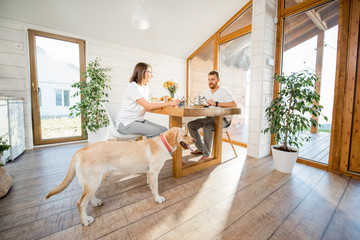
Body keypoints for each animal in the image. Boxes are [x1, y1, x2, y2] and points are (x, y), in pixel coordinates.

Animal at [47, 127, 195, 227]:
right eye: (185, 135)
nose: (194, 139)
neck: (162, 143)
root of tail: (82, 150)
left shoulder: (149, 172)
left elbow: (151, 184)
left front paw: (152, 191)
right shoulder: (154, 172)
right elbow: (156, 187)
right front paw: (158, 198)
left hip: (94, 180)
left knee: (90, 196)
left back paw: (95, 202)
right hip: (93, 181)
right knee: (81, 203)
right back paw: (86, 220)